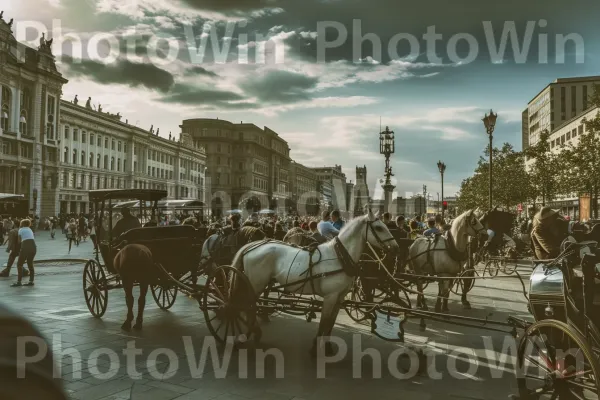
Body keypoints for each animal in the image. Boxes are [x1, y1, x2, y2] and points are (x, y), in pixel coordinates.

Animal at [230, 208, 398, 354]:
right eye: (379, 227)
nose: (396, 247)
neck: (339, 257)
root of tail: (253, 246)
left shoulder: (339, 297)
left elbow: (330, 323)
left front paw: (328, 346)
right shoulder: (330, 297)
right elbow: (324, 322)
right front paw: (315, 348)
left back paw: (254, 331)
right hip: (255, 284)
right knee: (248, 306)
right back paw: (251, 331)